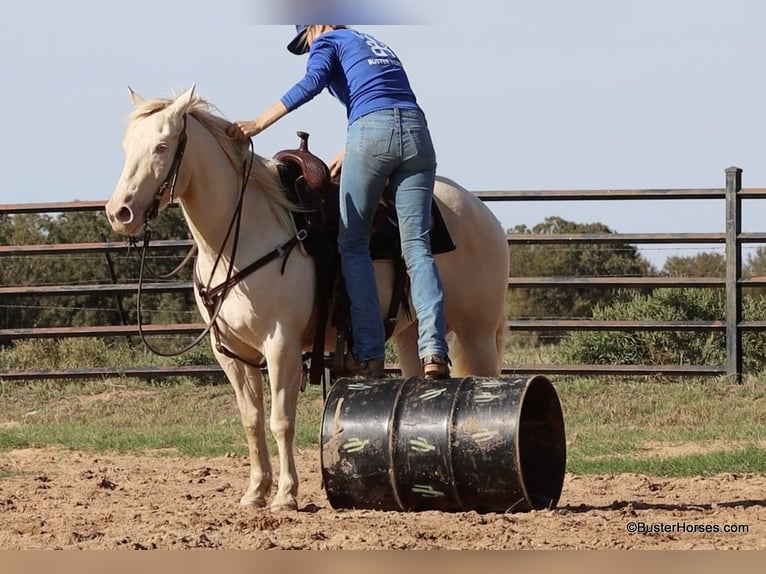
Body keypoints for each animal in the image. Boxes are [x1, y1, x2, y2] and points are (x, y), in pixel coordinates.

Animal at [105, 86, 510, 512]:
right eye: (127, 146)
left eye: (162, 146)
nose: (120, 212)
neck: (245, 233)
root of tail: (484, 212)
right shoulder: (230, 351)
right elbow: (251, 420)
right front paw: (255, 492)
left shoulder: (280, 342)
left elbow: (281, 420)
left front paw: (286, 495)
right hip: (407, 333)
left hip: (477, 333)